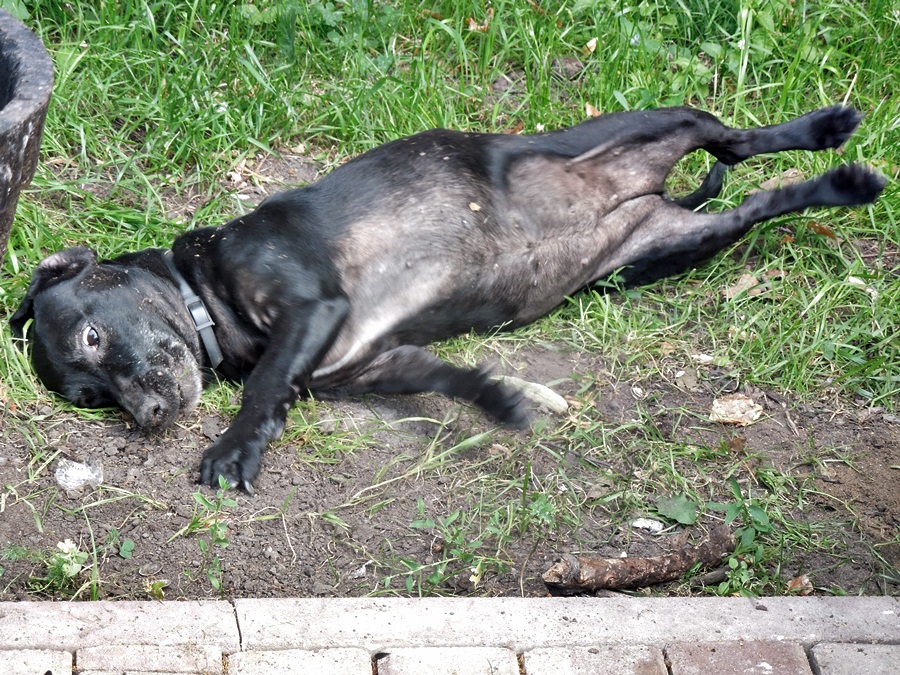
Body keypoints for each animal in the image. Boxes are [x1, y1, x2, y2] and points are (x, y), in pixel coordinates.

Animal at [10, 105, 885, 491]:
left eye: (91, 338)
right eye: (90, 396)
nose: (149, 416)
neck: (205, 296)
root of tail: (644, 192)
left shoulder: (312, 309)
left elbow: (261, 390)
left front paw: (234, 450)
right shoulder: (366, 359)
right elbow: (448, 379)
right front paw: (502, 401)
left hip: (645, 125)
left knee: (737, 135)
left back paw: (831, 132)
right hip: (667, 247)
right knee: (765, 197)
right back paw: (837, 185)